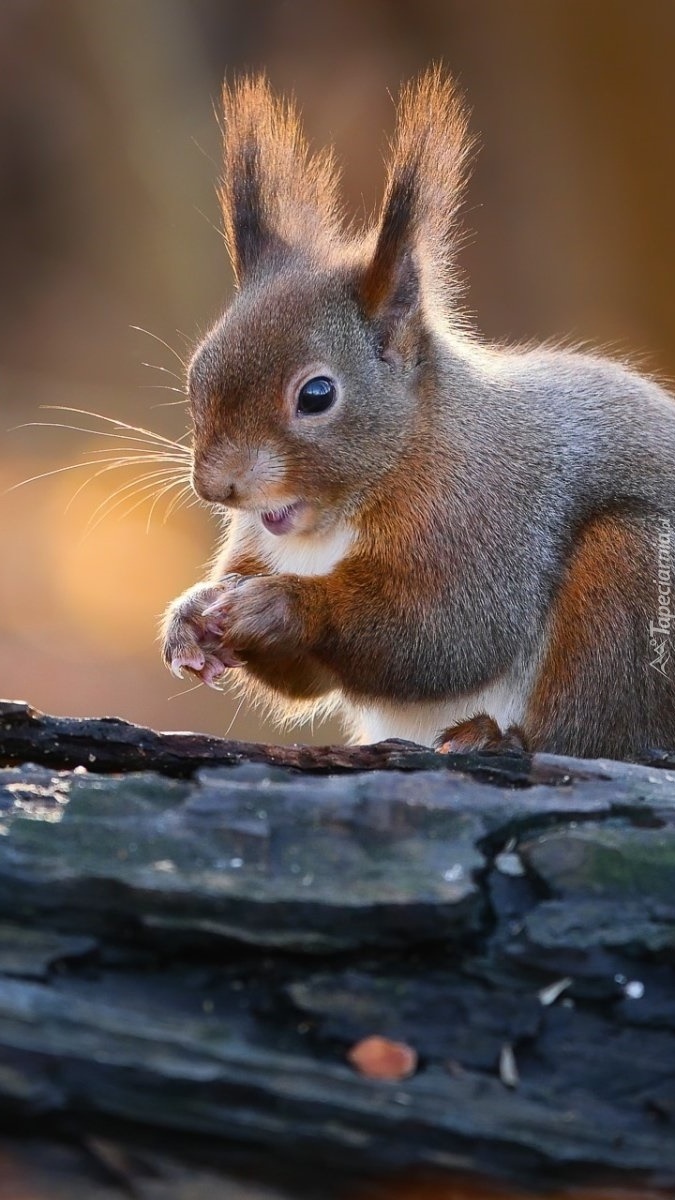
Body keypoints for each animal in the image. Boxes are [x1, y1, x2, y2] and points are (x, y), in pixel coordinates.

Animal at [162, 70, 672, 758]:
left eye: (316, 395)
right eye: (197, 372)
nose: (216, 487)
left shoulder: (488, 519)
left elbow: (443, 632)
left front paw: (280, 605)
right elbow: (307, 680)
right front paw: (190, 615)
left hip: (633, 572)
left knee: (586, 725)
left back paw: (496, 736)